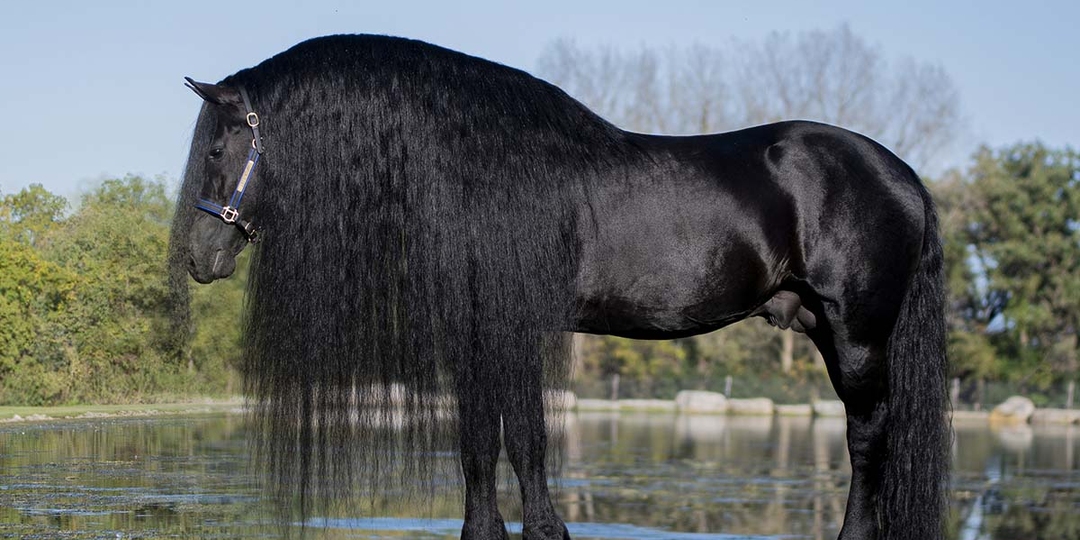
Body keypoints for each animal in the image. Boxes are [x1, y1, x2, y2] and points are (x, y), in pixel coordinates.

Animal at [168, 34, 946, 540]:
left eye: (217, 147)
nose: (200, 259)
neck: (474, 168)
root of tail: (901, 174)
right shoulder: (478, 329)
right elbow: (480, 440)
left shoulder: (512, 325)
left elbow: (525, 437)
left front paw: (545, 530)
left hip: (856, 335)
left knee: (867, 437)